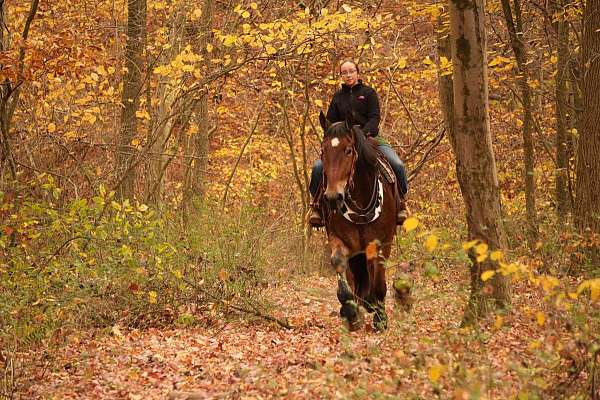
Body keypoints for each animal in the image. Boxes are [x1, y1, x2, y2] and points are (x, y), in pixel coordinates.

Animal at [318, 111, 398, 332]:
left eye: (348, 150)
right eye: (323, 151)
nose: (333, 197)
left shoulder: (381, 243)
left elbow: (378, 281)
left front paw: (380, 318)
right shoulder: (338, 239)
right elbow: (340, 266)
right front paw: (352, 313)